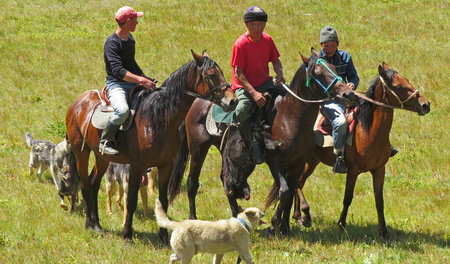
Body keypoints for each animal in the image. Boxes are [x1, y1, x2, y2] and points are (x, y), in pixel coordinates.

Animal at [66, 50, 239, 243]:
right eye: (211, 75)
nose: (233, 101)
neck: (159, 117)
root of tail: (77, 103)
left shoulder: (165, 165)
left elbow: (163, 201)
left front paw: (163, 236)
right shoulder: (137, 166)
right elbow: (131, 201)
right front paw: (127, 235)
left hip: (102, 157)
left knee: (93, 183)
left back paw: (97, 224)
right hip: (81, 152)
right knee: (85, 185)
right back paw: (89, 223)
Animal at [172, 49, 356, 235]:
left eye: (335, 67)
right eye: (318, 73)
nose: (347, 94)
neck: (290, 118)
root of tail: (197, 102)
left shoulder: (298, 163)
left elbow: (290, 192)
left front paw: (285, 227)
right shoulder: (275, 161)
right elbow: (284, 190)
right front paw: (274, 226)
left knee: (226, 182)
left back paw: (236, 215)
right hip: (198, 148)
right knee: (192, 182)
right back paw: (193, 218)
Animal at [294, 62, 430, 239]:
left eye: (407, 80)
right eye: (398, 86)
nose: (425, 104)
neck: (369, 132)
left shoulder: (379, 170)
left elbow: (379, 201)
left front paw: (384, 232)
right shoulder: (352, 171)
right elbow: (348, 198)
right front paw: (341, 225)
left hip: (312, 161)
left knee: (299, 182)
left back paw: (298, 216)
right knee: (297, 182)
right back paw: (303, 215)